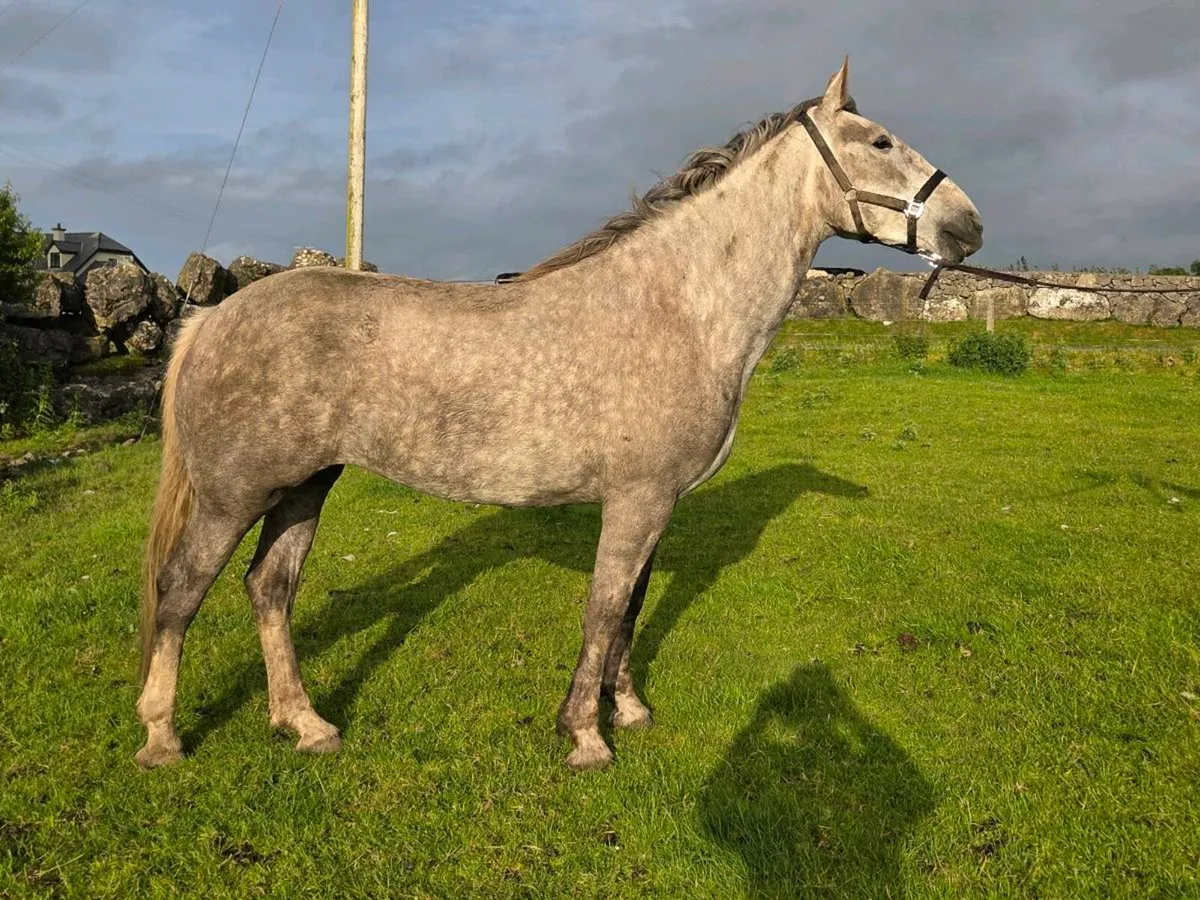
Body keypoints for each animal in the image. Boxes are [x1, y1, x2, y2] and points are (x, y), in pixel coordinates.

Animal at [136, 58, 982, 772]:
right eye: (881, 141)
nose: (969, 227)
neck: (678, 308)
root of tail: (211, 319)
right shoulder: (635, 501)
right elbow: (602, 611)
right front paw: (585, 736)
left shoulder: (655, 504)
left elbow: (630, 611)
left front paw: (628, 710)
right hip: (234, 495)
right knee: (179, 592)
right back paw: (162, 737)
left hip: (306, 486)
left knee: (269, 589)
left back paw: (305, 724)